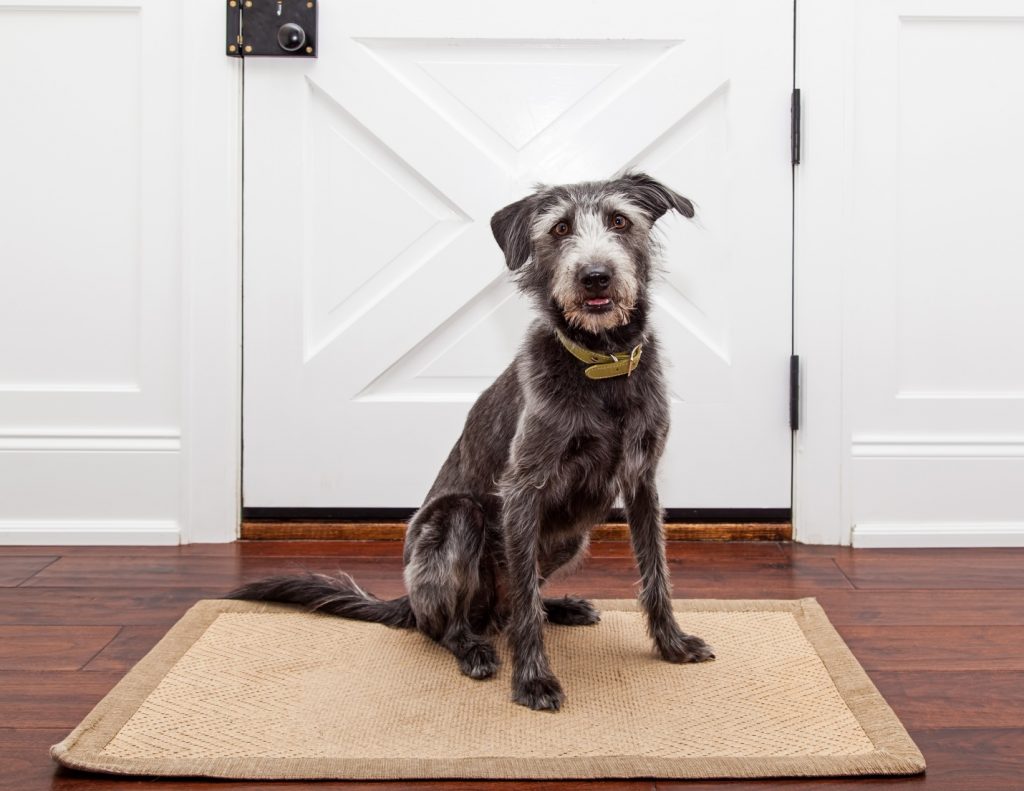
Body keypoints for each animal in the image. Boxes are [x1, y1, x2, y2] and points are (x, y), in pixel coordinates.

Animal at [229, 171, 716, 709]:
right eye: (560, 228)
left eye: (619, 221)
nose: (595, 276)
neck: (600, 368)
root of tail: (408, 602)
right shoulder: (524, 490)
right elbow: (525, 600)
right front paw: (532, 679)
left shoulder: (641, 483)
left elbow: (656, 574)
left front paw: (672, 644)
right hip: (457, 522)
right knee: (451, 624)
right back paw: (474, 649)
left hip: (571, 537)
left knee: (515, 601)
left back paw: (560, 608)